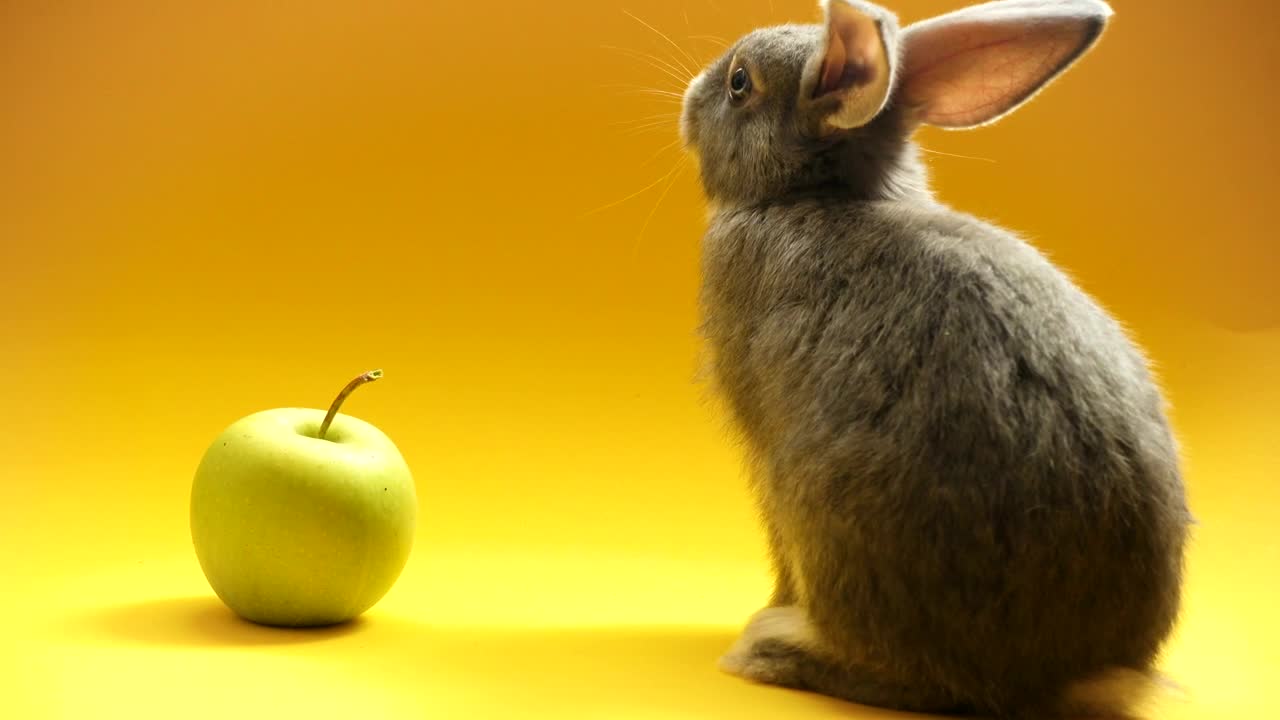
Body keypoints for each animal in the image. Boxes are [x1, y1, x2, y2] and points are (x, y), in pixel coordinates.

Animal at [677, 0, 1191, 718]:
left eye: (740, 84)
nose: (689, 99)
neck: (816, 194)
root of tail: (1055, 679)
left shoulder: (762, 453)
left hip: (826, 513)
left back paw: (772, 647)